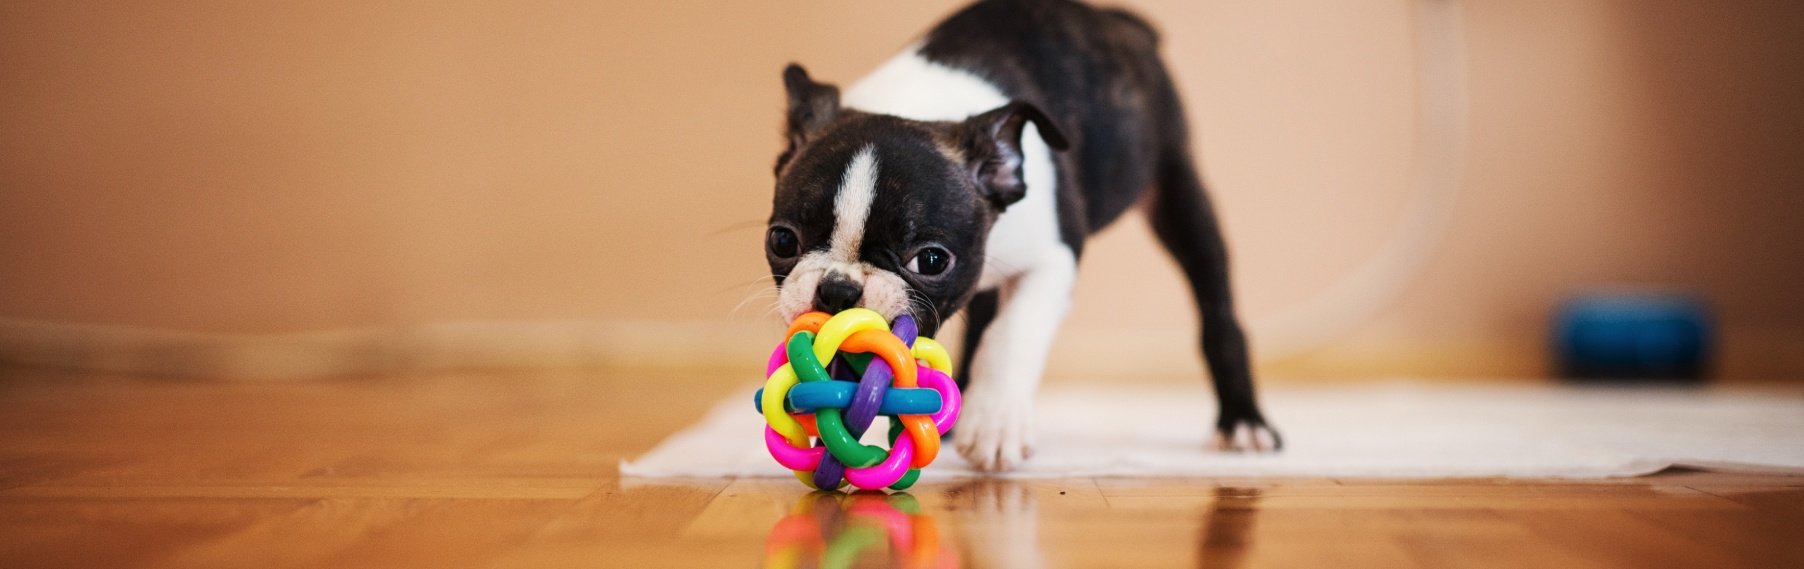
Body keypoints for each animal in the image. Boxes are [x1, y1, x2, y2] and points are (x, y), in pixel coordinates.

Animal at [764, 0, 1284, 473]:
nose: (838, 290)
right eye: (782, 242)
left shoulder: (1053, 259)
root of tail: (1119, 20)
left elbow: (1012, 333)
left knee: (1216, 305)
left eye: (930, 260)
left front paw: (995, 425)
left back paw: (1244, 422)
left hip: (1179, 192)